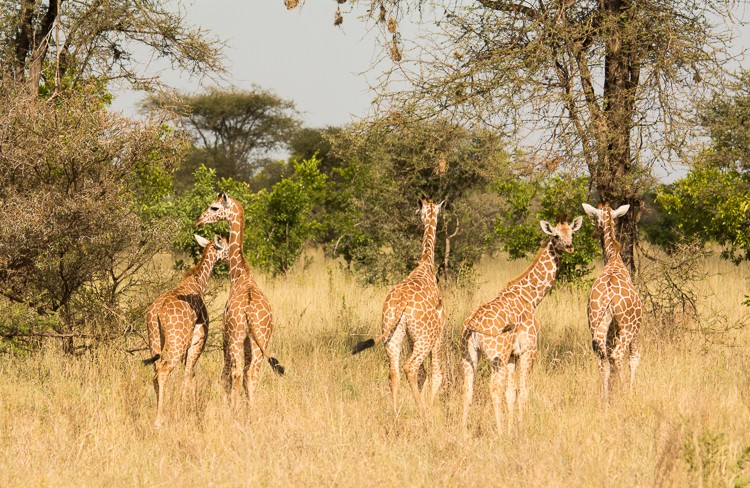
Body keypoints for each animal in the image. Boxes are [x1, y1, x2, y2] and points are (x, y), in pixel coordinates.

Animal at [144, 233, 229, 428]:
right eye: (227, 246)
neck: (199, 281)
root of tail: (158, 312)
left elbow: (190, 375)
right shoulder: (197, 341)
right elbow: (189, 374)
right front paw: (185, 411)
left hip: (155, 339)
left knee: (155, 371)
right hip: (177, 342)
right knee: (164, 369)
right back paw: (159, 420)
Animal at [195, 192, 286, 408]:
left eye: (214, 207)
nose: (198, 221)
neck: (240, 275)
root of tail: (249, 312)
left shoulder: (225, 336)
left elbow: (226, 374)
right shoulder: (248, 341)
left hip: (236, 339)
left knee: (236, 373)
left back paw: (235, 409)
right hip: (260, 340)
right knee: (251, 373)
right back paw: (250, 410)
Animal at [352, 196, 446, 414]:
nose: (418, 221)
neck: (425, 264)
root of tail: (401, 303)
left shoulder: (411, 337)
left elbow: (424, 374)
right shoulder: (439, 331)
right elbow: (436, 373)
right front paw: (431, 406)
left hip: (392, 333)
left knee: (393, 372)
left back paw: (395, 412)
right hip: (424, 337)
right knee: (410, 368)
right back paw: (422, 410)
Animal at [462, 217, 584, 434]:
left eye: (572, 233)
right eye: (555, 235)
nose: (569, 246)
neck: (531, 298)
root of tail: (472, 326)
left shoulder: (513, 355)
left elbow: (511, 392)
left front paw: (513, 428)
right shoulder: (529, 349)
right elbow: (524, 390)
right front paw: (521, 427)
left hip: (468, 357)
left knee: (467, 391)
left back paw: (463, 434)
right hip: (496, 357)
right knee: (493, 389)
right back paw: (500, 433)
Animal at [580, 202, 648, 400]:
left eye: (594, 218)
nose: (594, 233)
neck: (613, 257)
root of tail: (609, 293)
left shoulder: (609, 329)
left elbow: (608, 358)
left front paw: (611, 389)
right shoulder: (635, 331)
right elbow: (634, 358)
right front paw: (630, 391)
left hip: (596, 322)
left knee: (602, 358)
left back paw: (605, 397)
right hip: (627, 327)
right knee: (618, 355)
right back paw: (624, 392)